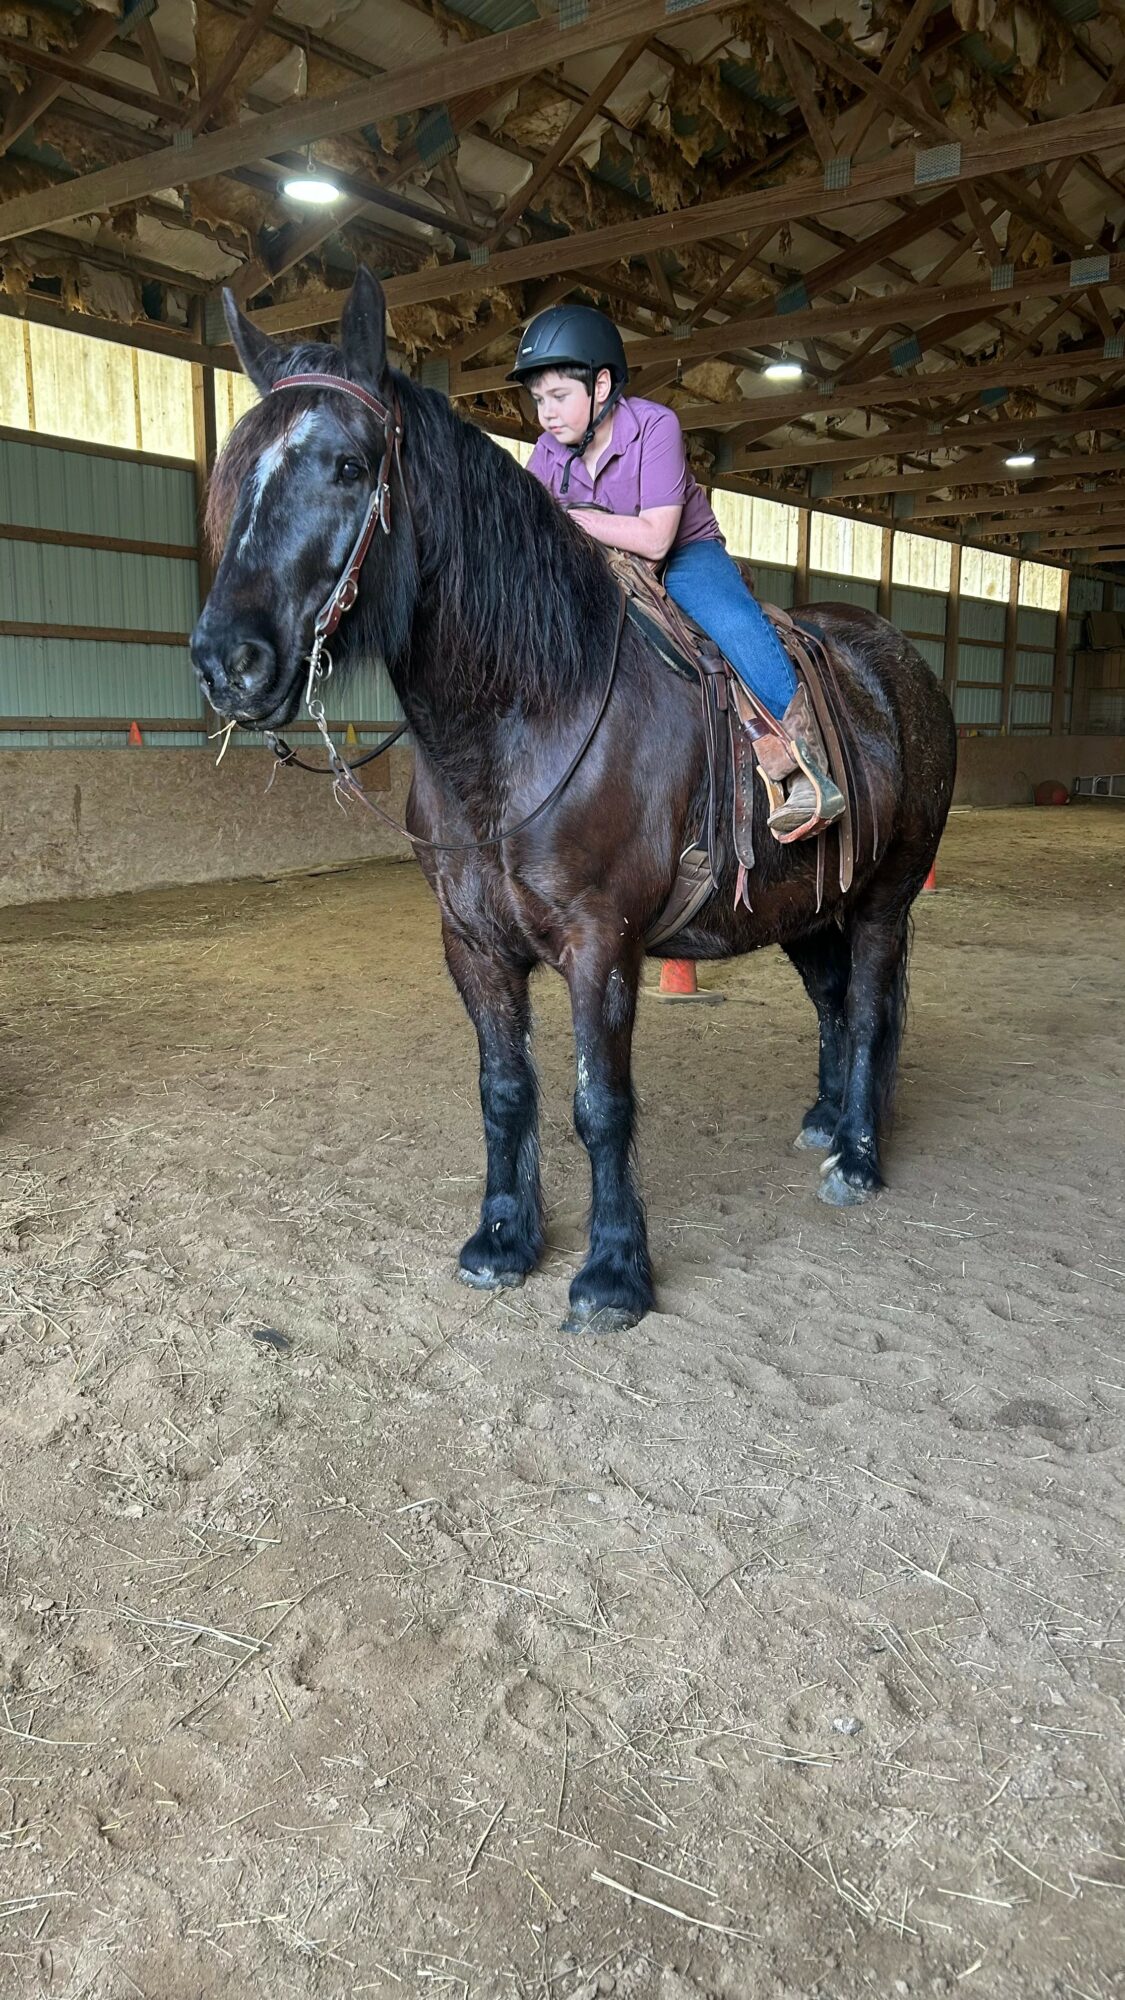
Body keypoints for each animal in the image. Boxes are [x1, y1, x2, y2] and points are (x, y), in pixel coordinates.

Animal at [191, 269, 957, 1335]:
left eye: (348, 466)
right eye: (235, 471)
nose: (229, 662)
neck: (524, 716)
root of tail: (897, 665)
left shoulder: (604, 943)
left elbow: (602, 1104)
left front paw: (611, 1274)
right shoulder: (472, 944)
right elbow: (505, 1090)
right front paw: (502, 1240)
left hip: (885, 896)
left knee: (874, 1002)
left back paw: (857, 1154)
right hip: (804, 905)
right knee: (839, 1004)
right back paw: (822, 1123)